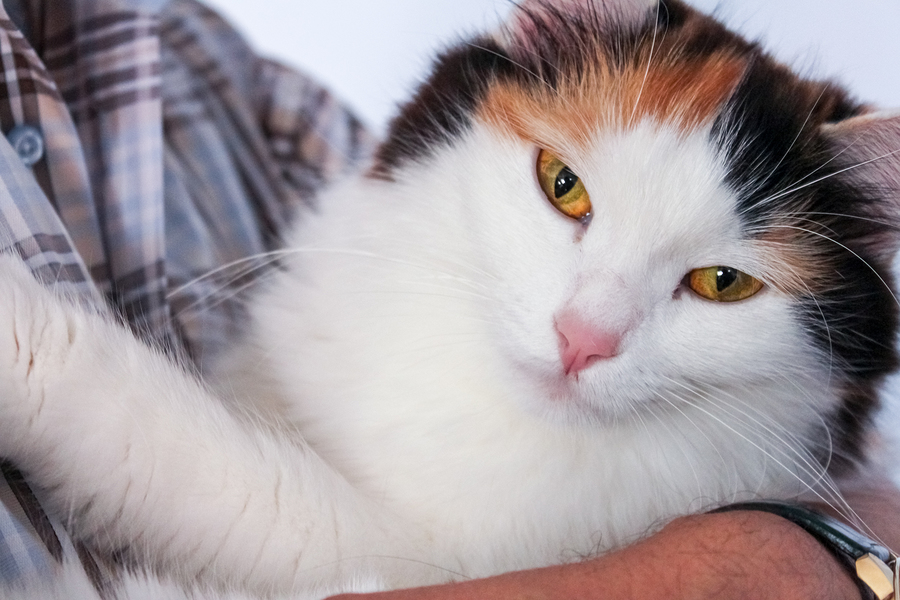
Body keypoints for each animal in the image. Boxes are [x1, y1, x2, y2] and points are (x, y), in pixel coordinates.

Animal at [0, 0, 900, 596]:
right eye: (563, 186)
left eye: (722, 284)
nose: (582, 338)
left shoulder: (380, 549)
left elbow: (169, 439)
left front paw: (20, 333)